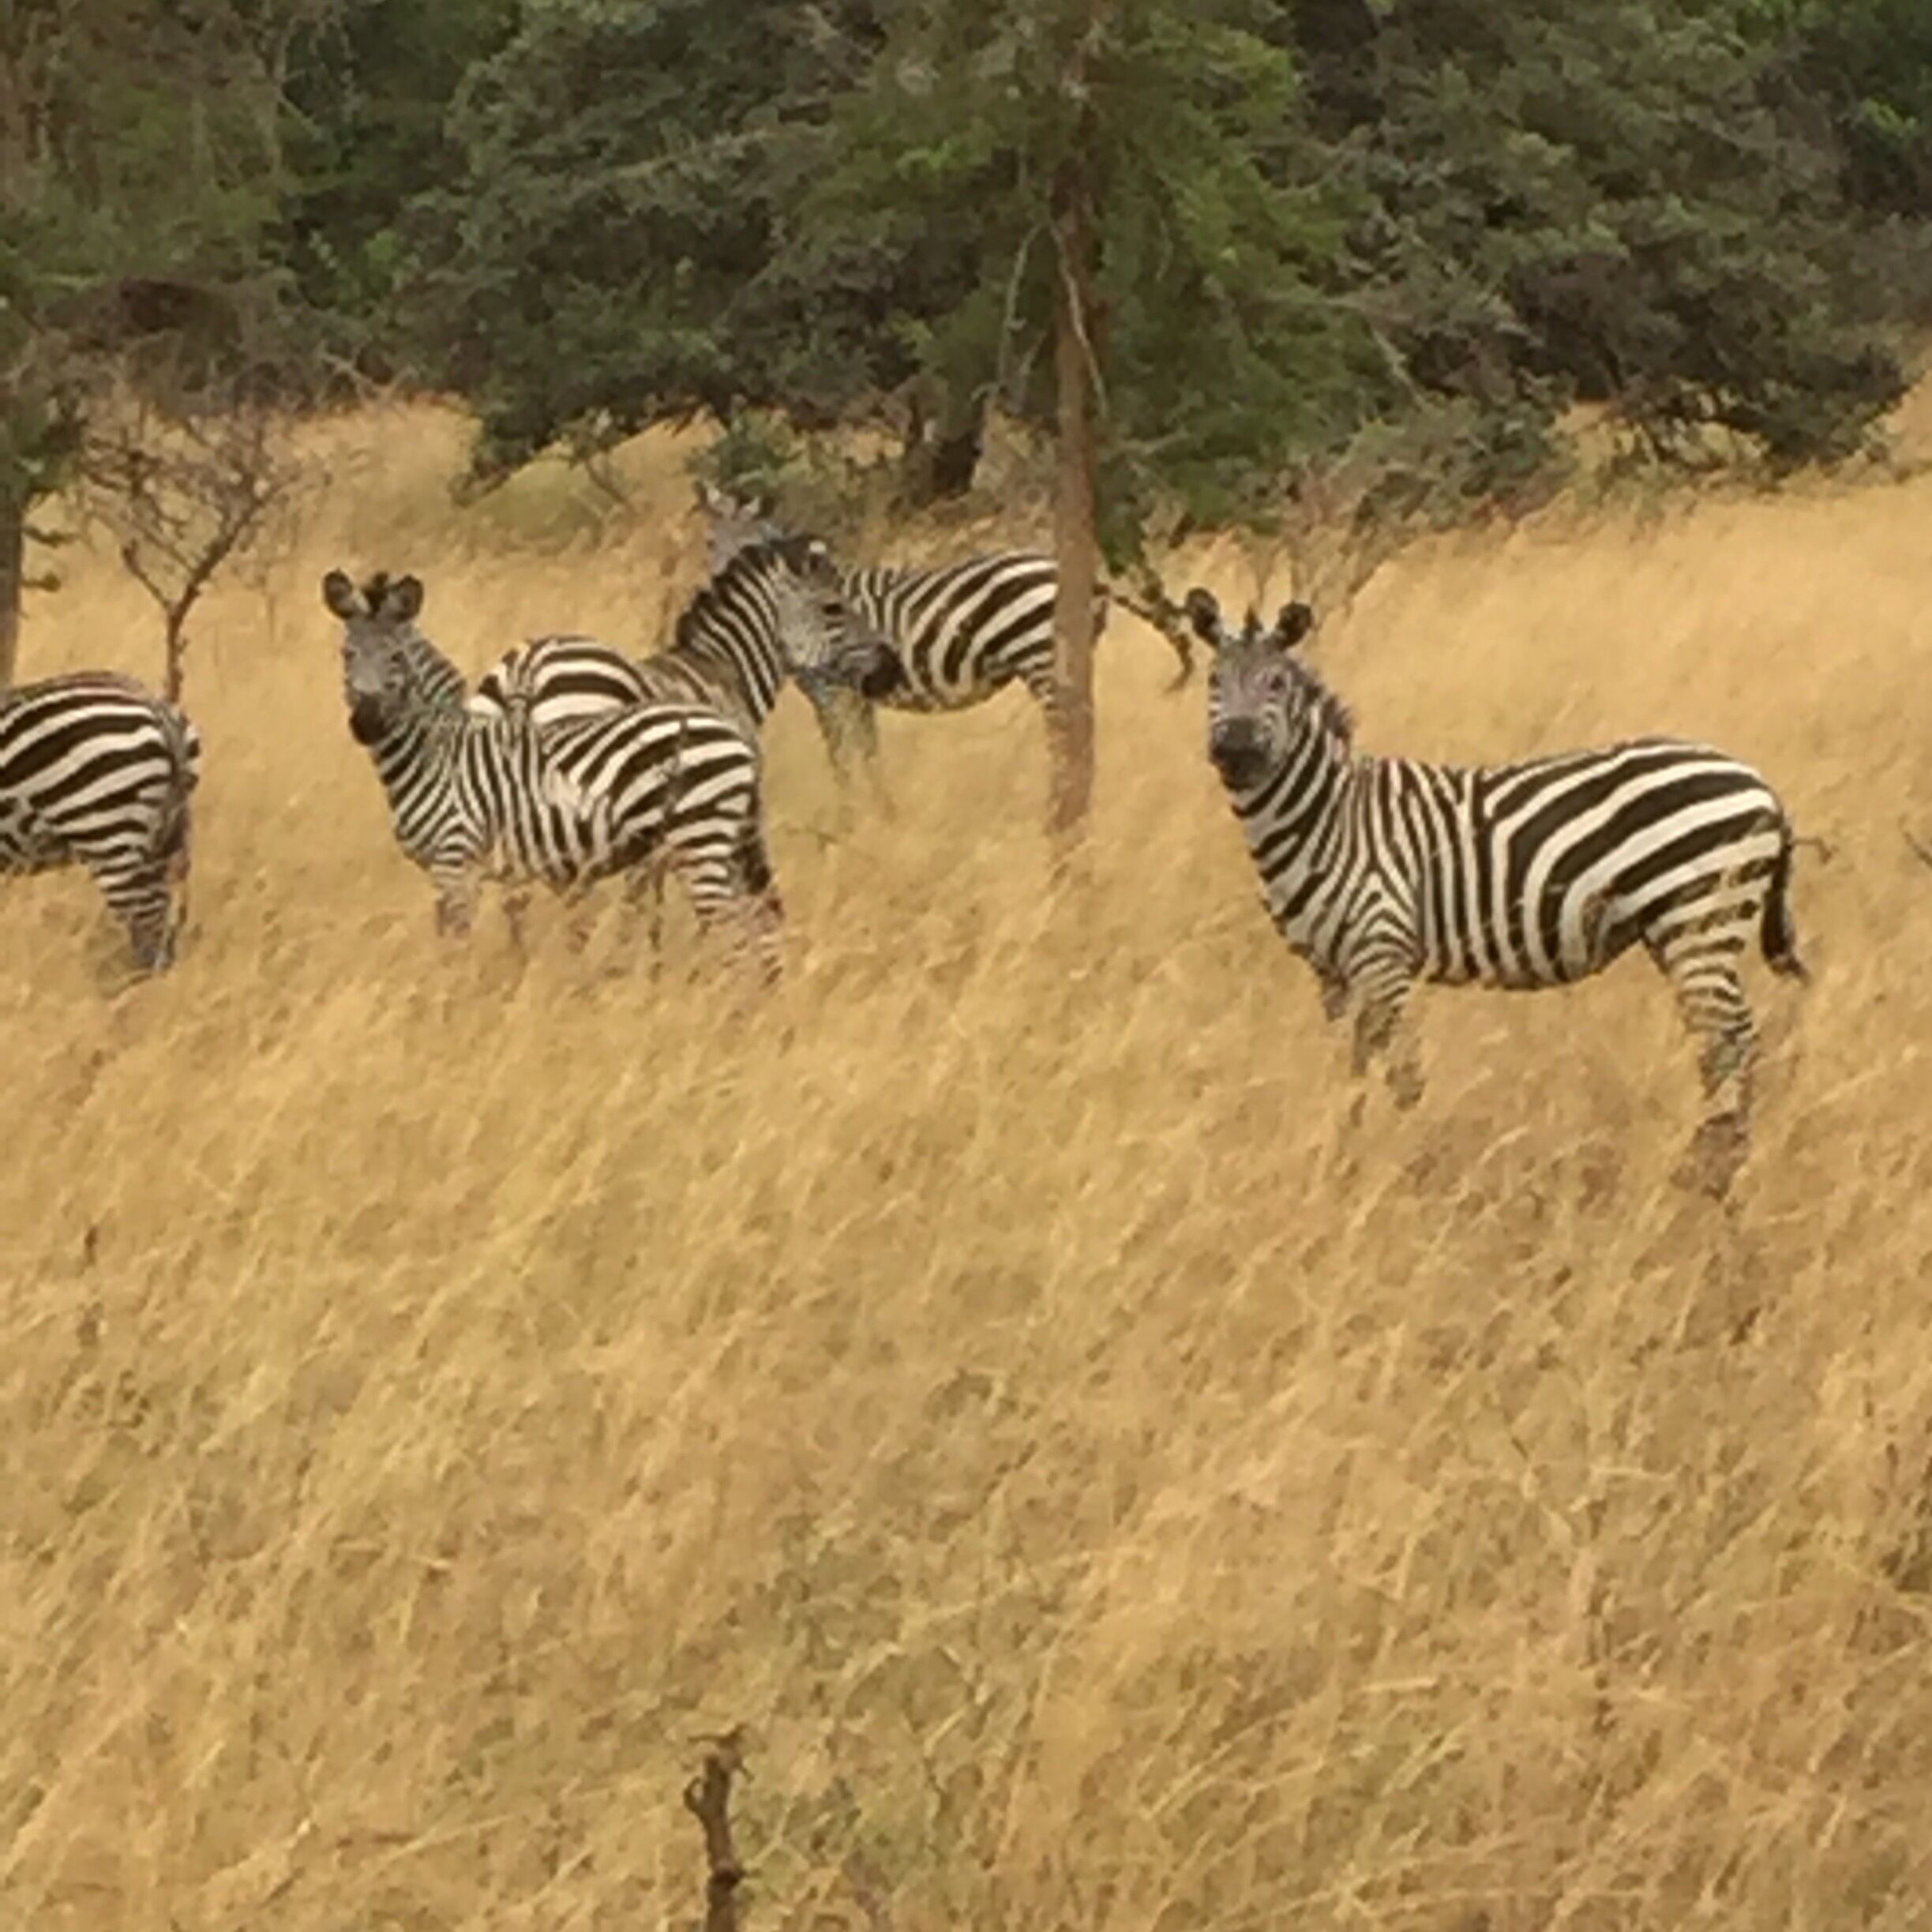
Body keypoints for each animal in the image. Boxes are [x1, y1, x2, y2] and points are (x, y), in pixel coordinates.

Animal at [321, 568, 784, 983]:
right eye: (347, 655)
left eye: (396, 658)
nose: (366, 724)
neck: (437, 753)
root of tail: (733, 733)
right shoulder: (449, 868)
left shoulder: (456, 860)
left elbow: (457, 949)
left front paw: (453, 1003)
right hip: (721, 842)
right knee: (754, 918)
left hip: (700, 838)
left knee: (731, 934)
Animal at [1188, 588, 1808, 1188]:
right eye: (1213, 681)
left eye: (1275, 682)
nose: (1235, 752)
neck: (1329, 819)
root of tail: (1760, 783)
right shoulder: (1331, 971)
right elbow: (1353, 1069)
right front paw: (1344, 1154)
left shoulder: (1383, 951)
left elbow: (1404, 1074)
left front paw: (1408, 1166)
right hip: (1678, 930)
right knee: (1722, 1043)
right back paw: (1713, 1163)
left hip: (1700, 919)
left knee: (1733, 1039)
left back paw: (1713, 1171)